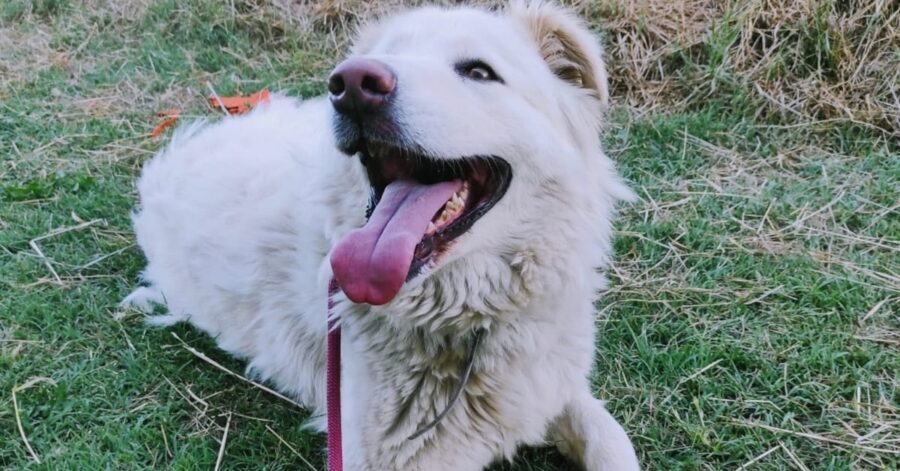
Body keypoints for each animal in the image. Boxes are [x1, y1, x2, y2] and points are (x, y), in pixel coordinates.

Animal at [125, 1, 640, 470]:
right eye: (385, 56)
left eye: (479, 71)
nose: (352, 84)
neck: (471, 319)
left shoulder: (551, 386)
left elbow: (611, 439)